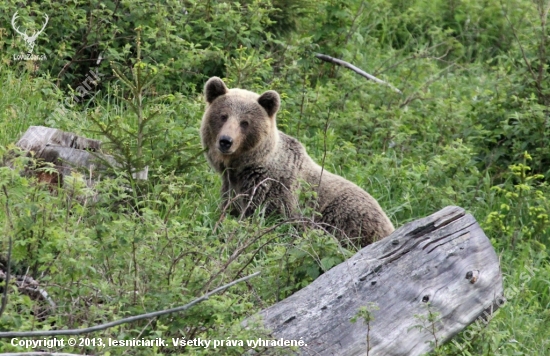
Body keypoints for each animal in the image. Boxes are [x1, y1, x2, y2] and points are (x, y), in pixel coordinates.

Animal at [201, 76, 394, 246]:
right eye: (223, 116)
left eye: (244, 122)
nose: (226, 141)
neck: (246, 166)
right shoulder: (233, 187)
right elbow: (228, 212)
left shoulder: (274, 190)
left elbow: (271, 219)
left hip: (349, 218)